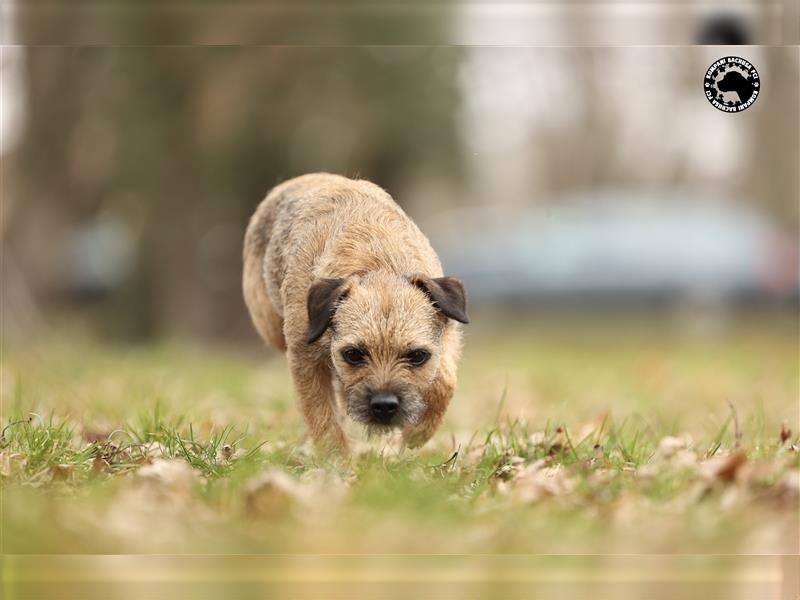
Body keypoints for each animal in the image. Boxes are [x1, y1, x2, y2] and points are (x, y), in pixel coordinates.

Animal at [244, 172, 468, 450]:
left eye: (417, 356)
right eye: (353, 354)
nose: (384, 406)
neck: (378, 262)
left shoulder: (447, 336)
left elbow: (445, 382)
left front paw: (416, 435)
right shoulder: (304, 358)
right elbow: (322, 417)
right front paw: (337, 460)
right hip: (269, 324)